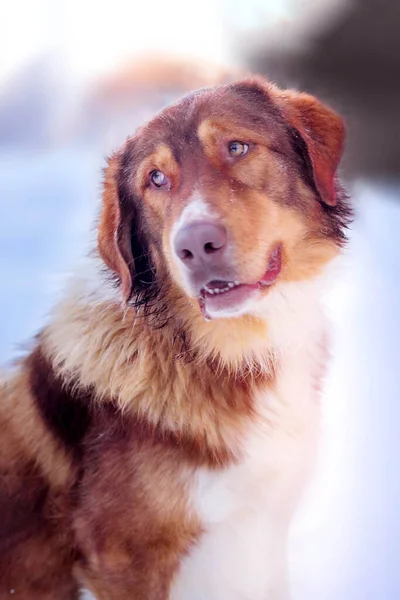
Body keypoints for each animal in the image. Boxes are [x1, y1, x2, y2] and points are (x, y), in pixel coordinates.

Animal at [0, 77, 350, 596]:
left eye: (237, 147)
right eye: (156, 180)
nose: (196, 246)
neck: (228, 350)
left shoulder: (261, 531)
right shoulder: (123, 560)